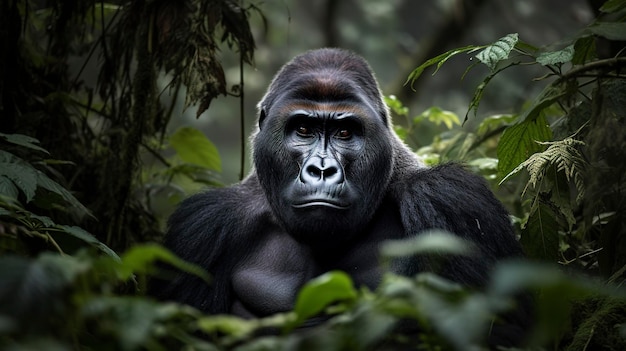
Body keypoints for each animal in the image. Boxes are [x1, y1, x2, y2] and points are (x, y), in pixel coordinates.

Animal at [152, 48, 528, 348]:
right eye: (303, 129)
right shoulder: (202, 226)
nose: (322, 170)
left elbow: (502, 331)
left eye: (345, 132)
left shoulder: (451, 200)